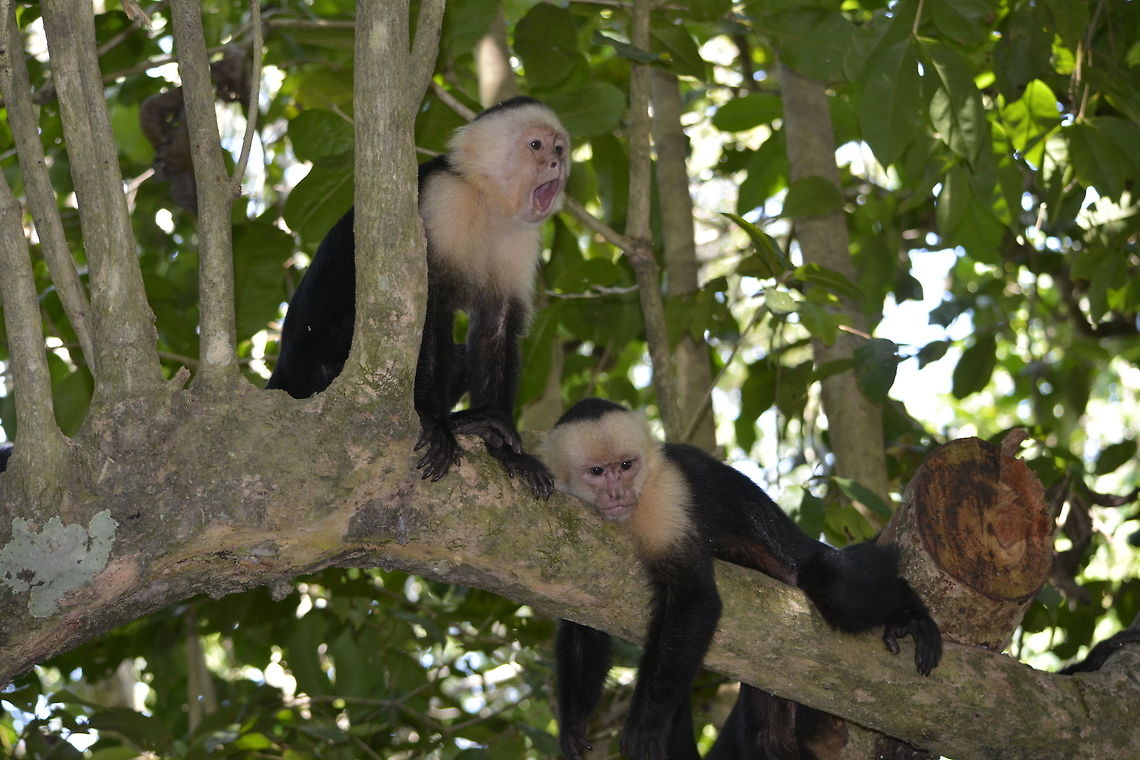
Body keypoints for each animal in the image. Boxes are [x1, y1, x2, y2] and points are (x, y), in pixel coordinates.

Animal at [267, 97, 569, 499]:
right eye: (536, 146)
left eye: (560, 148)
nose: (557, 165)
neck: (484, 199)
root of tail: (284, 373)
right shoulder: (440, 200)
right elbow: (423, 306)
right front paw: (434, 422)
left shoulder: (521, 236)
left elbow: (497, 326)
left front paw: (504, 447)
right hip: (318, 371)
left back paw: (472, 424)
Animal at [540, 398, 942, 760]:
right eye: (597, 472)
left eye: (626, 465)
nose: (617, 493)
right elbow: (582, 622)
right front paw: (573, 723)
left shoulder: (663, 499)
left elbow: (695, 598)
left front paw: (646, 724)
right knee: (764, 738)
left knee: (834, 584)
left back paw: (911, 614)